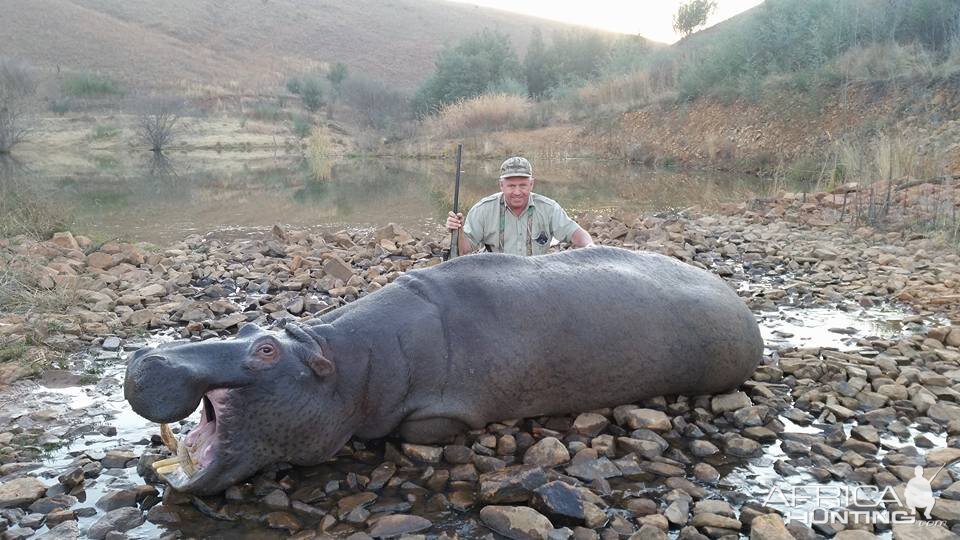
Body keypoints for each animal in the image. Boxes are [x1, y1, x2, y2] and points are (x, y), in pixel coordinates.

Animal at [124, 247, 760, 496]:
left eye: (265, 352)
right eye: (252, 327)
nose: (146, 357)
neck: (344, 364)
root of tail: (744, 307)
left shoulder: (446, 409)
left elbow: (417, 428)